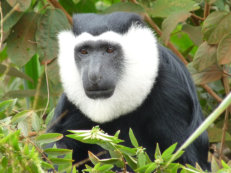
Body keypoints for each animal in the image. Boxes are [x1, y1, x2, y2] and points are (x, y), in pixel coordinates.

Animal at [47, 11, 210, 170]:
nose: (93, 75)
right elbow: (59, 145)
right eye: (84, 51)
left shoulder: (173, 92)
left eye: (109, 49)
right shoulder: (70, 103)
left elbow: (184, 161)